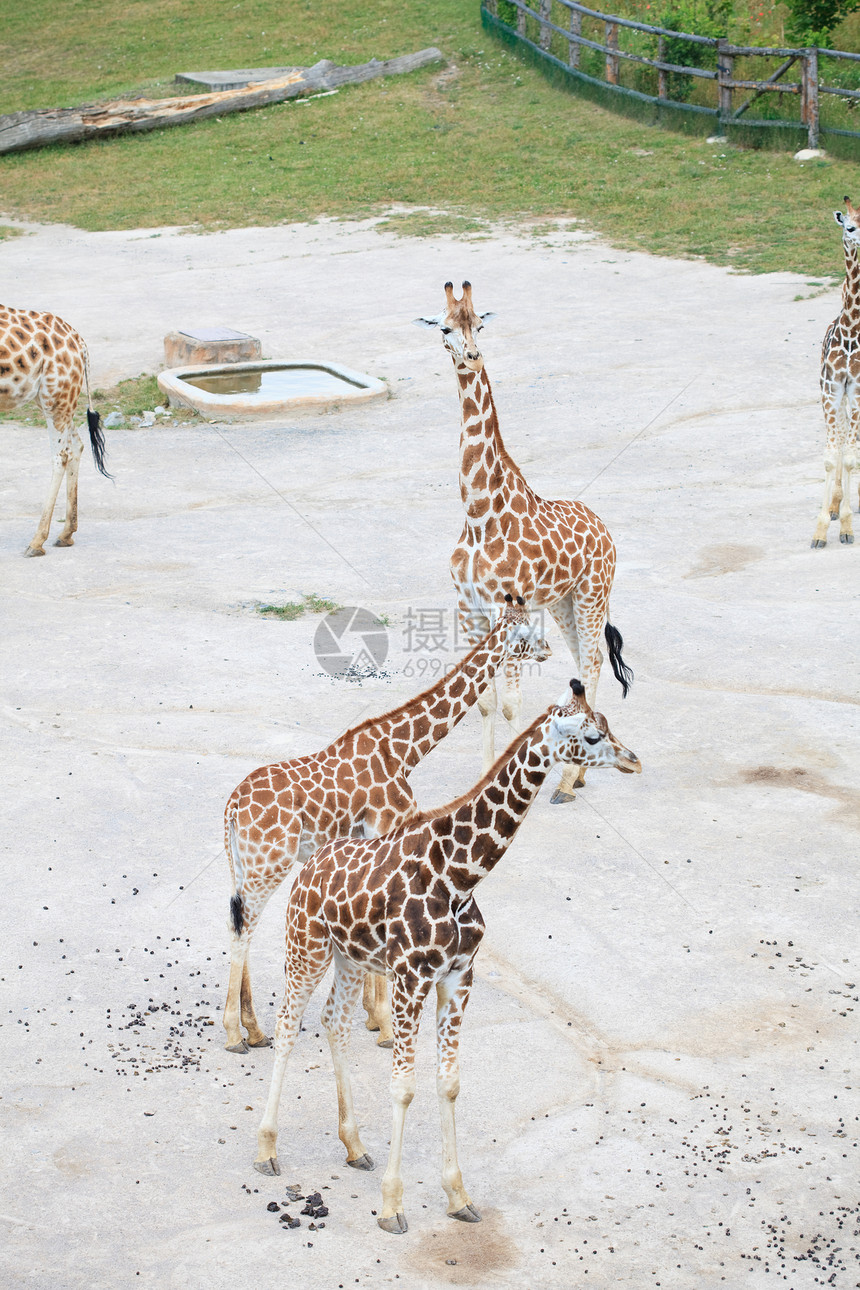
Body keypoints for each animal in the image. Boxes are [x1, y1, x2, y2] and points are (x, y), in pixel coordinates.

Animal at [0, 308, 112, 559]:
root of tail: (79, 342)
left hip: (56, 396)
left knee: (61, 455)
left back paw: (36, 542)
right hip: (53, 399)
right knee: (77, 445)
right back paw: (66, 534)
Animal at [221, 598, 551, 1052]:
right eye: (526, 634)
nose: (548, 650)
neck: (404, 750)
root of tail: (232, 807)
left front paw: (373, 1018)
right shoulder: (388, 829)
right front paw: (385, 1025)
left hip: (242, 865)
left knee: (238, 923)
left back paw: (253, 1029)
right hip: (268, 865)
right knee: (244, 930)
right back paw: (236, 1033)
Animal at [248, 675, 639, 1228]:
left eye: (606, 724)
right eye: (589, 736)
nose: (633, 760)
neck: (460, 877)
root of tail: (310, 865)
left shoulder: (458, 976)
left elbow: (448, 1083)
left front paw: (458, 1196)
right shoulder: (411, 977)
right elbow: (404, 1085)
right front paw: (393, 1206)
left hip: (349, 958)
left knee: (335, 1023)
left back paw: (354, 1146)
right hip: (306, 945)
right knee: (286, 1025)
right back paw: (267, 1150)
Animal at [412, 282, 636, 799]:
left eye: (480, 324)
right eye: (445, 328)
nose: (472, 356)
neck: (479, 513)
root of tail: (606, 530)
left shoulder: (504, 607)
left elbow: (513, 702)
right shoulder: (469, 609)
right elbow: (485, 702)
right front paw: (484, 777)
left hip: (593, 594)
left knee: (593, 659)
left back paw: (568, 781)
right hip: (563, 601)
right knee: (583, 659)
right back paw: (576, 773)